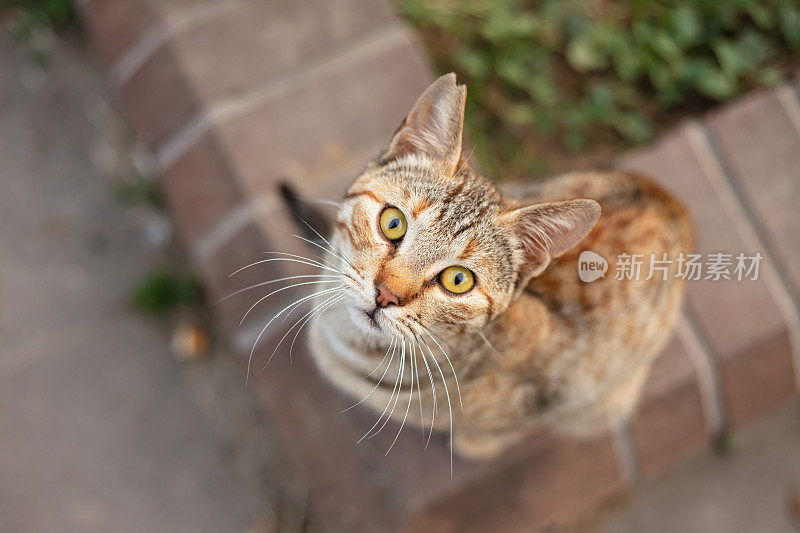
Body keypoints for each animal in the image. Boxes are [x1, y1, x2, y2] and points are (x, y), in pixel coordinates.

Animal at [304, 72, 692, 460]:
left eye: (458, 280)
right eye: (393, 223)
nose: (385, 294)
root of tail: (673, 202)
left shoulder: (556, 395)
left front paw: (475, 444)